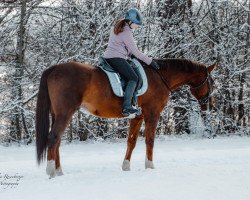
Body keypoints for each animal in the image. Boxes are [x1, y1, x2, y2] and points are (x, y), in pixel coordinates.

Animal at [35, 58, 217, 178]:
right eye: (212, 82)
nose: (209, 105)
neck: (160, 76)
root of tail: (54, 69)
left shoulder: (137, 116)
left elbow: (131, 141)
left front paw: (126, 166)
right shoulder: (152, 113)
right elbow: (150, 140)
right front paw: (150, 166)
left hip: (57, 114)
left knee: (57, 141)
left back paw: (59, 171)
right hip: (65, 113)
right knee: (53, 138)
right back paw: (51, 171)